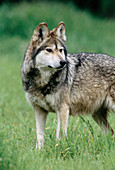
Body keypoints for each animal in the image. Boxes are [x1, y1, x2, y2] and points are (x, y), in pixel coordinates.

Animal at [21, 21, 114, 149]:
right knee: (110, 132)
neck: (43, 82)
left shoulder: (63, 108)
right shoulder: (39, 109)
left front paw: (59, 149)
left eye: (60, 50)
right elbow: (39, 136)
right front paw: (39, 151)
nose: (63, 62)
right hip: (96, 114)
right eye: (49, 50)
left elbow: (60, 134)